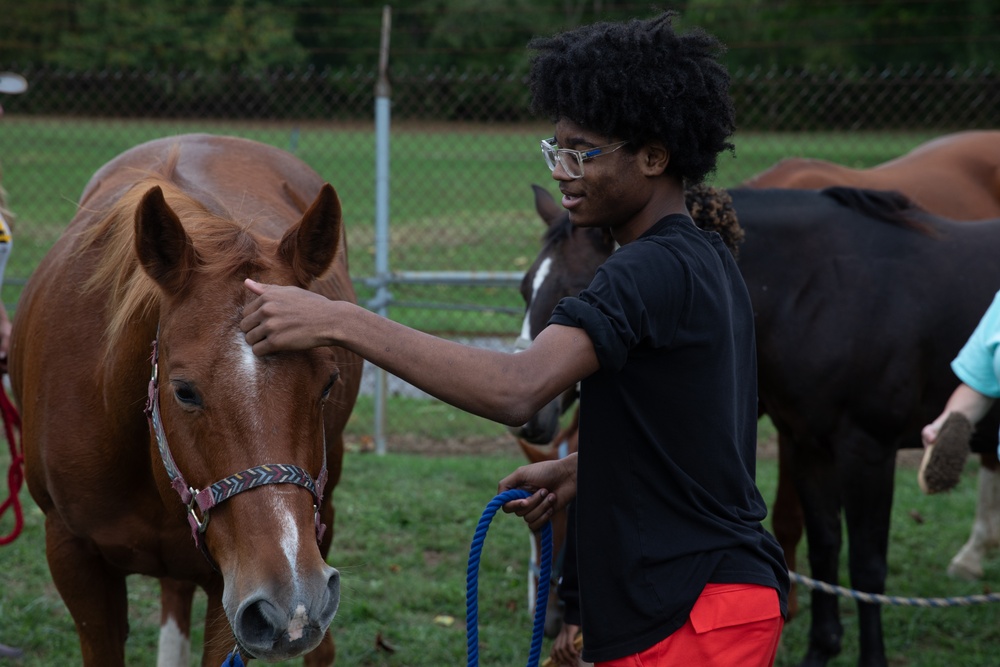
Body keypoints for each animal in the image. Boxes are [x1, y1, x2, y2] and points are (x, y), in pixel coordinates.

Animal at [519, 182, 1000, 667]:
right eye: (525, 288)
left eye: (578, 291)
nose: (555, 621)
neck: (823, 288)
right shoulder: (808, 446)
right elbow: (825, 547)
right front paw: (821, 649)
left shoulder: (868, 452)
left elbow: (866, 568)